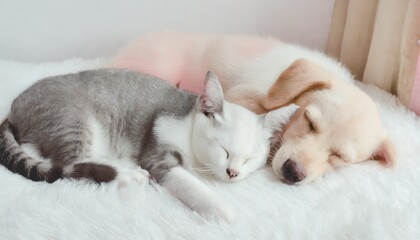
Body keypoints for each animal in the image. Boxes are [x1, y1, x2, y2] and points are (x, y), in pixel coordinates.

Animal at [0, 68, 296, 220]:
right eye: (223, 149)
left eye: (249, 159)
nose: (233, 172)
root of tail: (13, 109)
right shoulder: (159, 151)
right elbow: (190, 185)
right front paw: (222, 211)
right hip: (70, 117)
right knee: (69, 165)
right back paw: (126, 175)